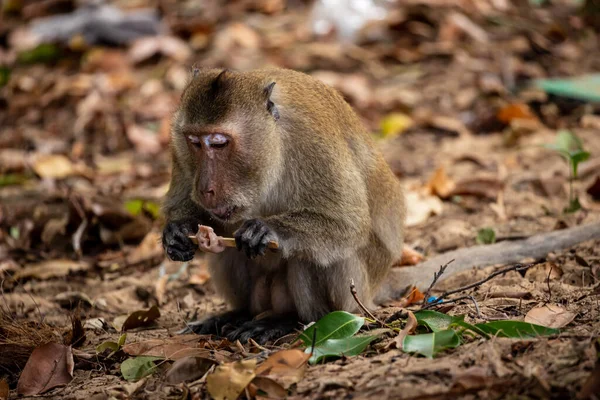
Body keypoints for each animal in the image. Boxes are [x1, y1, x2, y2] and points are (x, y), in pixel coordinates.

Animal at [162, 69, 406, 344]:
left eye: (218, 143)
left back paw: (290, 320)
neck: (274, 143)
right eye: (194, 142)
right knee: (230, 249)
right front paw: (179, 232)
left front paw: (267, 230)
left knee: (316, 255)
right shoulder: (178, 148)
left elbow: (347, 223)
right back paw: (239, 313)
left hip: (356, 296)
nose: (206, 190)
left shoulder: (313, 141)